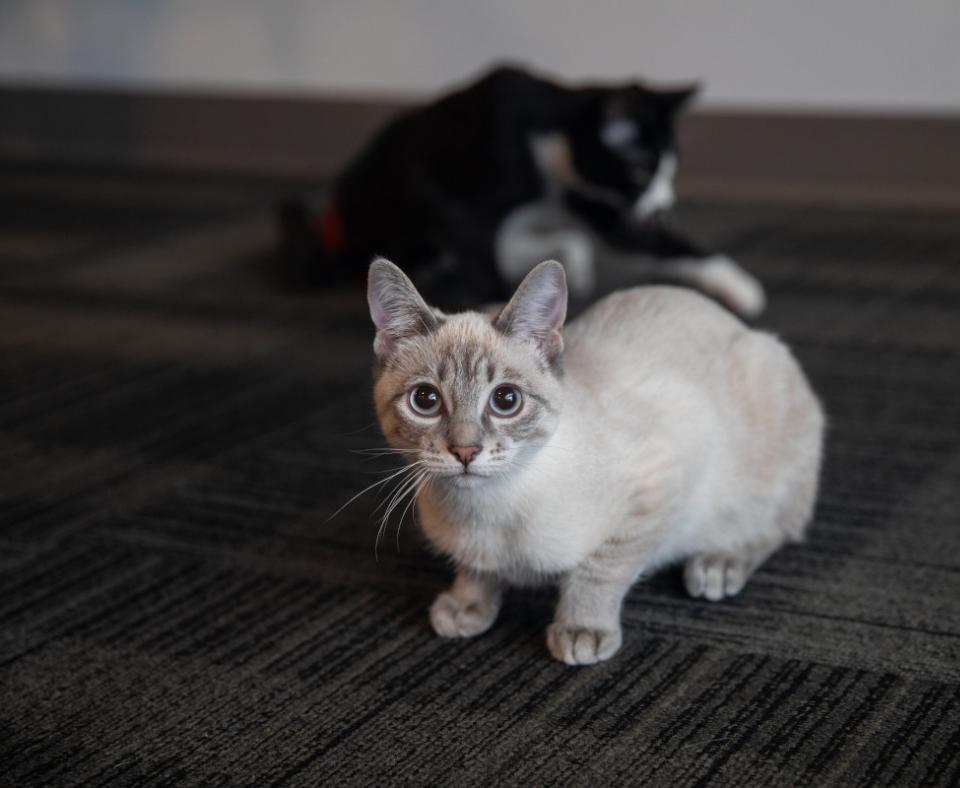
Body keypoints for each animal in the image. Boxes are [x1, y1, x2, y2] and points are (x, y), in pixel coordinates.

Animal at [280, 63, 764, 318]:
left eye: (670, 168)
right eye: (642, 169)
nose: (664, 204)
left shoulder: (591, 200)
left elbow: (643, 239)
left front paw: (737, 284)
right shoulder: (459, 193)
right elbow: (476, 245)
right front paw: (497, 307)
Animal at [368, 258, 824, 664]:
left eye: (506, 400)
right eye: (425, 400)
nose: (464, 451)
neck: (483, 512)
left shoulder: (656, 488)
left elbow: (600, 571)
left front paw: (582, 630)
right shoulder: (474, 552)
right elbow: (476, 571)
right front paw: (467, 606)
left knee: (776, 526)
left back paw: (718, 565)